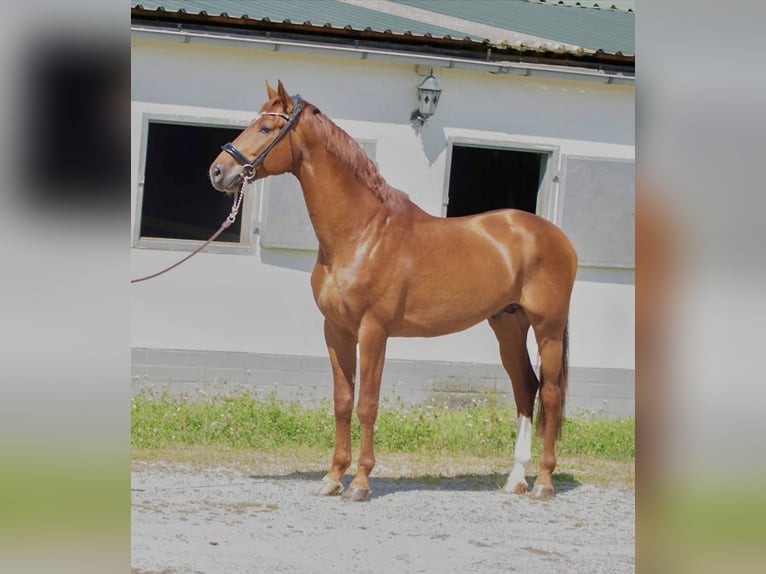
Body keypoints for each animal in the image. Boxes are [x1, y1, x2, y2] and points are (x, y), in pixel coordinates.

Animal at [208, 81, 576, 504]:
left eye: (267, 128)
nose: (218, 170)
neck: (362, 233)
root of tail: (554, 236)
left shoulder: (373, 332)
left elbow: (367, 404)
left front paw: (360, 483)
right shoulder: (335, 331)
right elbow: (342, 402)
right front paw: (332, 477)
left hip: (548, 328)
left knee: (550, 394)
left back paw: (544, 482)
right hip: (508, 325)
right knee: (525, 388)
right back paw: (516, 478)